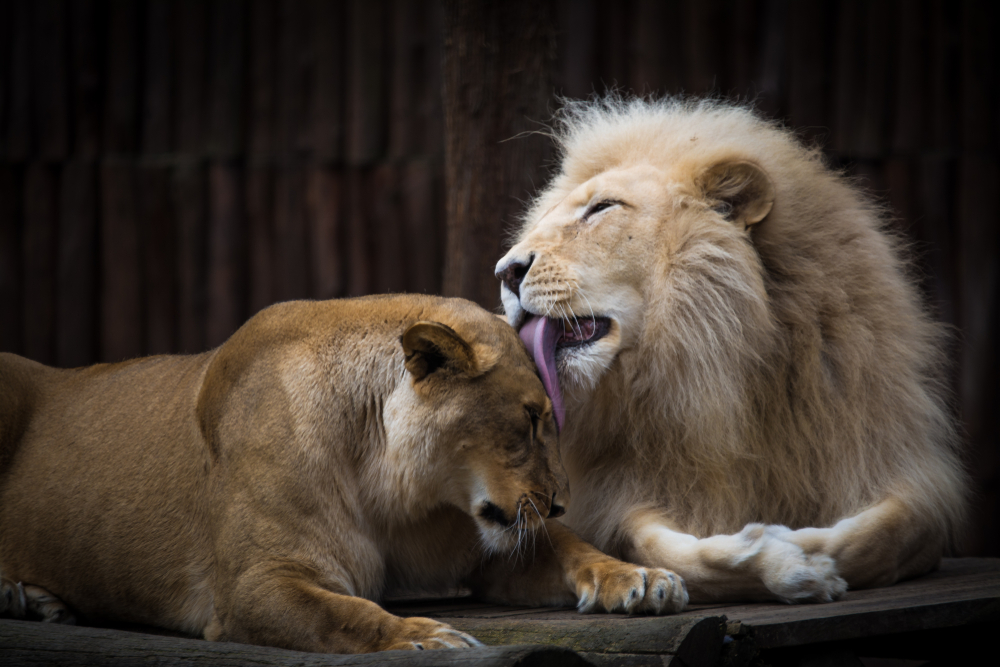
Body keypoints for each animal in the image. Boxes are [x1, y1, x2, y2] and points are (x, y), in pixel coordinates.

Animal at [0, 296, 684, 652]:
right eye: (532, 418)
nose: (562, 500)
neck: (390, 487)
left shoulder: (481, 543)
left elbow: (572, 549)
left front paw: (641, 579)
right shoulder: (254, 585)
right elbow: (345, 614)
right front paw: (426, 638)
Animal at [498, 98, 968, 604]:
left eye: (603, 208)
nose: (504, 271)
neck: (732, 366)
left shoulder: (898, 463)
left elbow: (882, 536)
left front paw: (806, 547)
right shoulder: (608, 496)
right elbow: (657, 549)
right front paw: (788, 562)